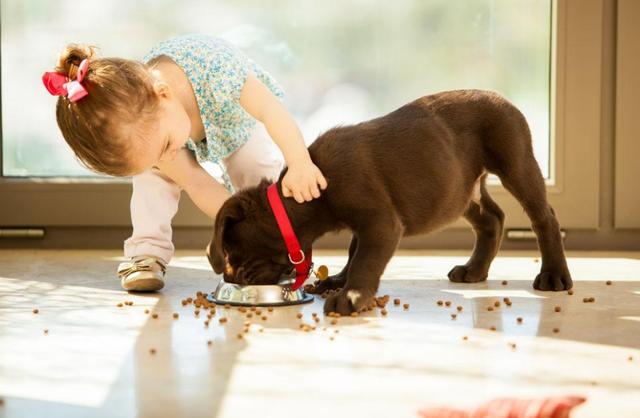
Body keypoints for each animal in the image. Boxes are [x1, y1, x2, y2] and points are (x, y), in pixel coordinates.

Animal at [208, 90, 572, 314]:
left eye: (232, 252)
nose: (232, 277)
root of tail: (503, 97)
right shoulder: (366, 224)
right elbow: (354, 252)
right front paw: (339, 281)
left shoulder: (380, 223)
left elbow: (365, 260)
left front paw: (350, 296)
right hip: (459, 189)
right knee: (492, 218)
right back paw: (474, 270)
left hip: (516, 162)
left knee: (544, 217)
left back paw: (553, 275)